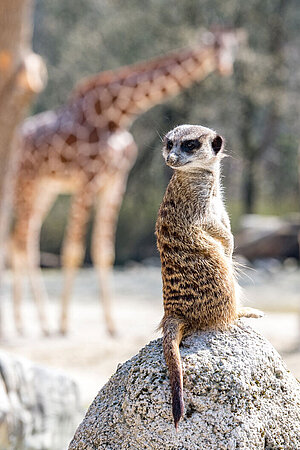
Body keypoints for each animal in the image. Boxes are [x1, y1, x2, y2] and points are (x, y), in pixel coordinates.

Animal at [10, 28, 241, 336]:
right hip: (26, 181)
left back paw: (32, 322)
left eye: (233, 47)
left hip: (46, 187)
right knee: (21, 239)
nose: (226, 68)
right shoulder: (88, 178)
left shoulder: (115, 180)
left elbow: (104, 251)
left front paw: (111, 325)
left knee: (25, 237)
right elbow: (73, 251)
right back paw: (35, 323)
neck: (117, 113)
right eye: (215, 46)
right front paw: (64, 324)